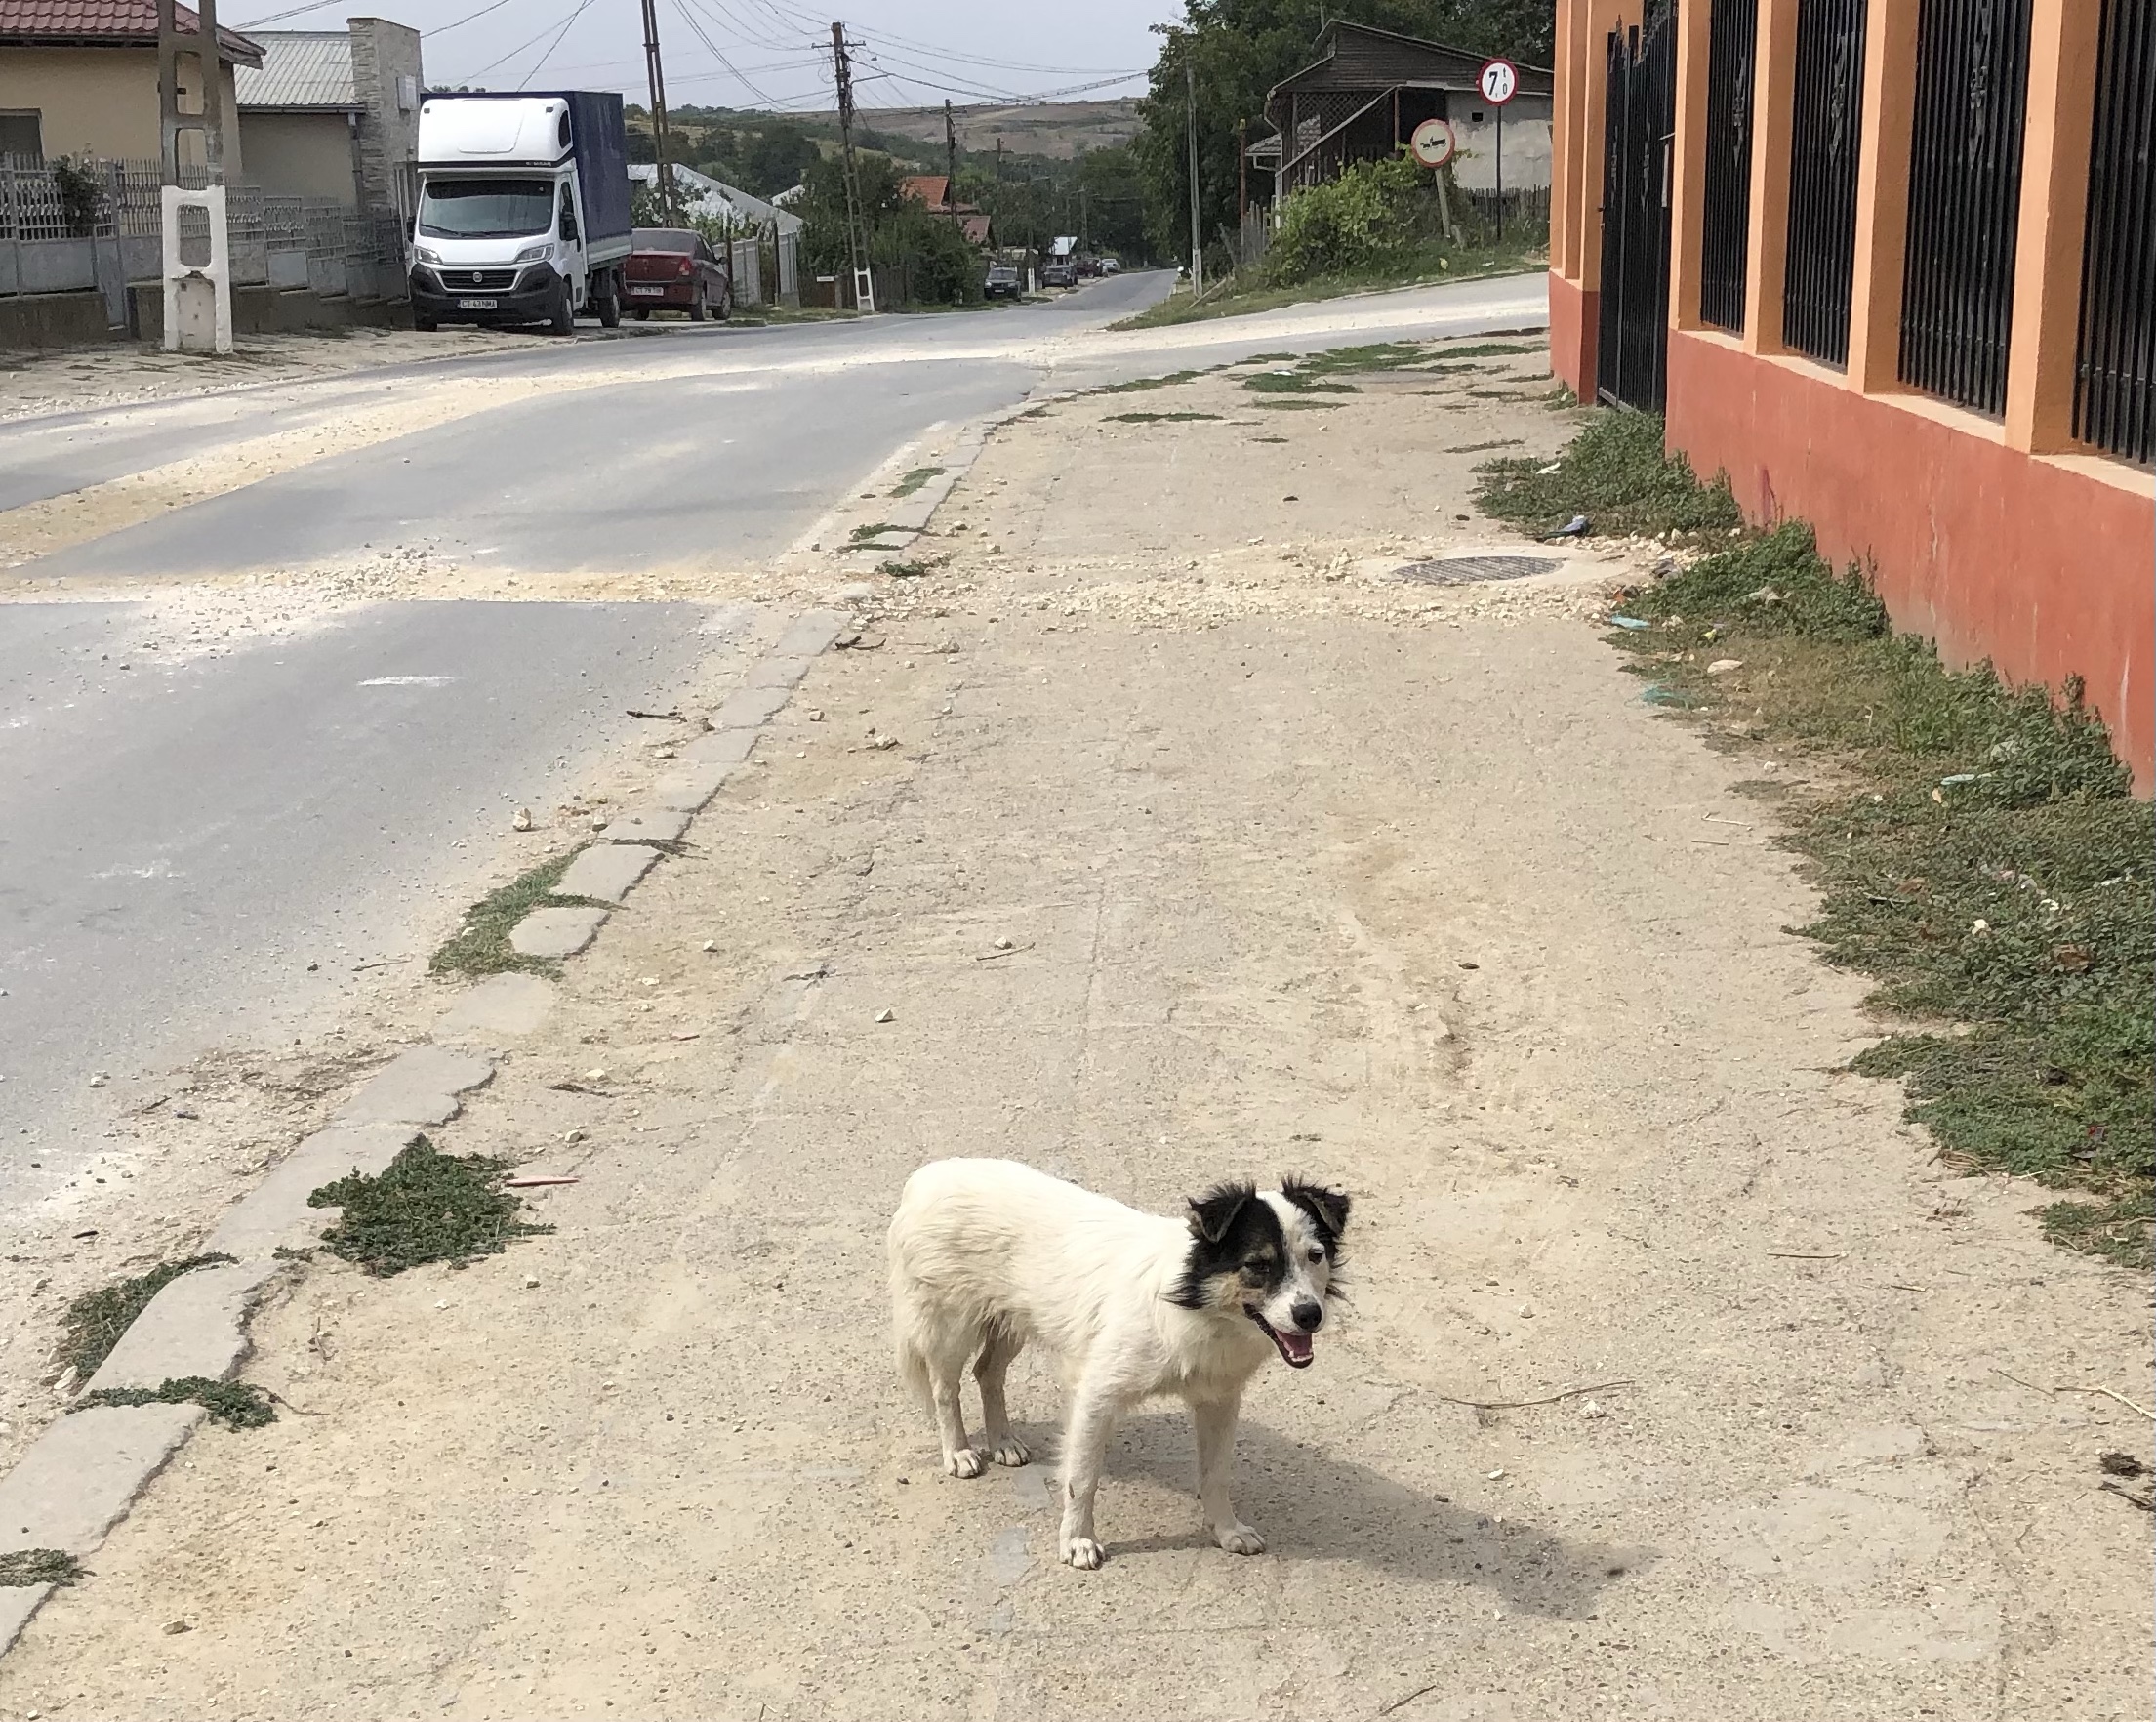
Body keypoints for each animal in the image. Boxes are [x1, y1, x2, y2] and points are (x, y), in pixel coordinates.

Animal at [887, 1157, 1350, 1569]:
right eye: (1257, 1265)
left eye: (1315, 1256)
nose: (1310, 1315)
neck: (1198, 1306)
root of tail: (926, 1176)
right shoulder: (1096, 1395)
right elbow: (1081, 1477)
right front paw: (1077, 1542)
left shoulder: (1218, 1400)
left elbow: (1215, 1473)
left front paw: (1227, 1530)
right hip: (951, 1325)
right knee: (945, 1388)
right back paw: (959, 1451)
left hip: (1013, 1318)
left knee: (987, 1372)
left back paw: (1003, 1441)